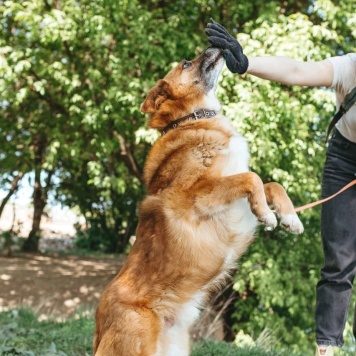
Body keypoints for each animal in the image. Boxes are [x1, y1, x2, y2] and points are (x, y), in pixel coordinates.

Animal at [92, 48, 304, 356]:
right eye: (186, 63)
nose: (215, 46)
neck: (195, 118)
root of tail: (99, 330)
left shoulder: (235, 195)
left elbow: (271, 184)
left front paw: (290, 217)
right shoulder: (197, 197)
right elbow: (251, 178)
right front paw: (266, 214)